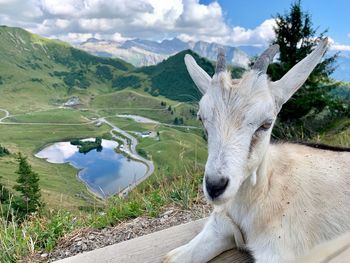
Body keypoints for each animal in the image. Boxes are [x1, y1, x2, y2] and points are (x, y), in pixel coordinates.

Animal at [164, 39, 350, 263]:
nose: (215, 186)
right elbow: (170, 258)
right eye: (201, 118)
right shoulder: (220, 226)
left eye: (266, 123)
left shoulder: (280, 251)